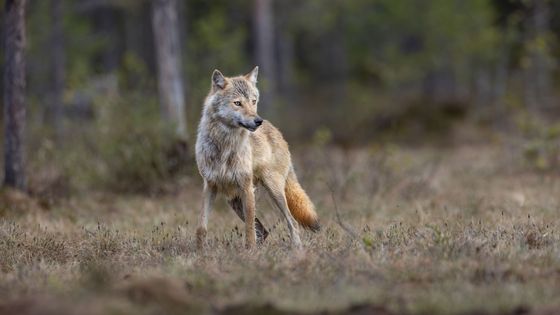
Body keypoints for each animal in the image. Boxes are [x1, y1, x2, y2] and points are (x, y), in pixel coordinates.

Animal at [196, 66, 320, 249]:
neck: (225, 145)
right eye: (238, 103)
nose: (258, 121)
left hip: (274, 191)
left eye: (253, 101)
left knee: (292, 222)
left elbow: (249, 230)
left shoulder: (246, 188)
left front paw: (250, 252)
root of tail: (277, 131)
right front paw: (200, 252)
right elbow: (202, 227)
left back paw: (297, 250)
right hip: (234, 201)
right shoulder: (210, 186)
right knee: (263, 230)